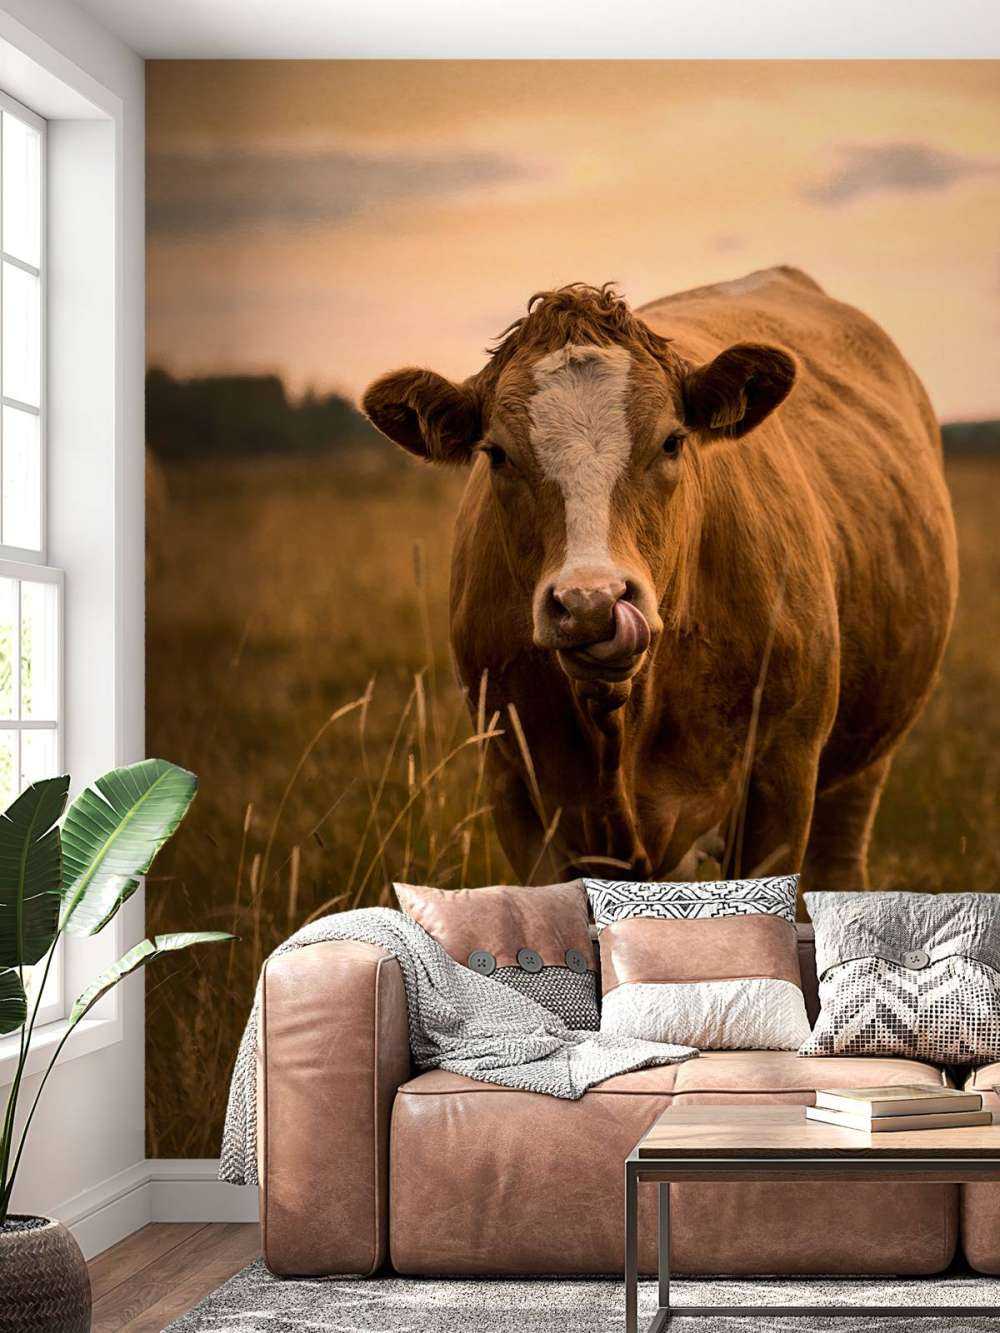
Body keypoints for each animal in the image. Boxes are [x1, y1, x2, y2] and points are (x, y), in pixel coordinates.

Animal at [362, 268, 958, 890]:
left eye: (672, 441)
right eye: (497, 454)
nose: (590, 602)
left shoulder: (783, 776)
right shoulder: (515, 792)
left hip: (862, 764)